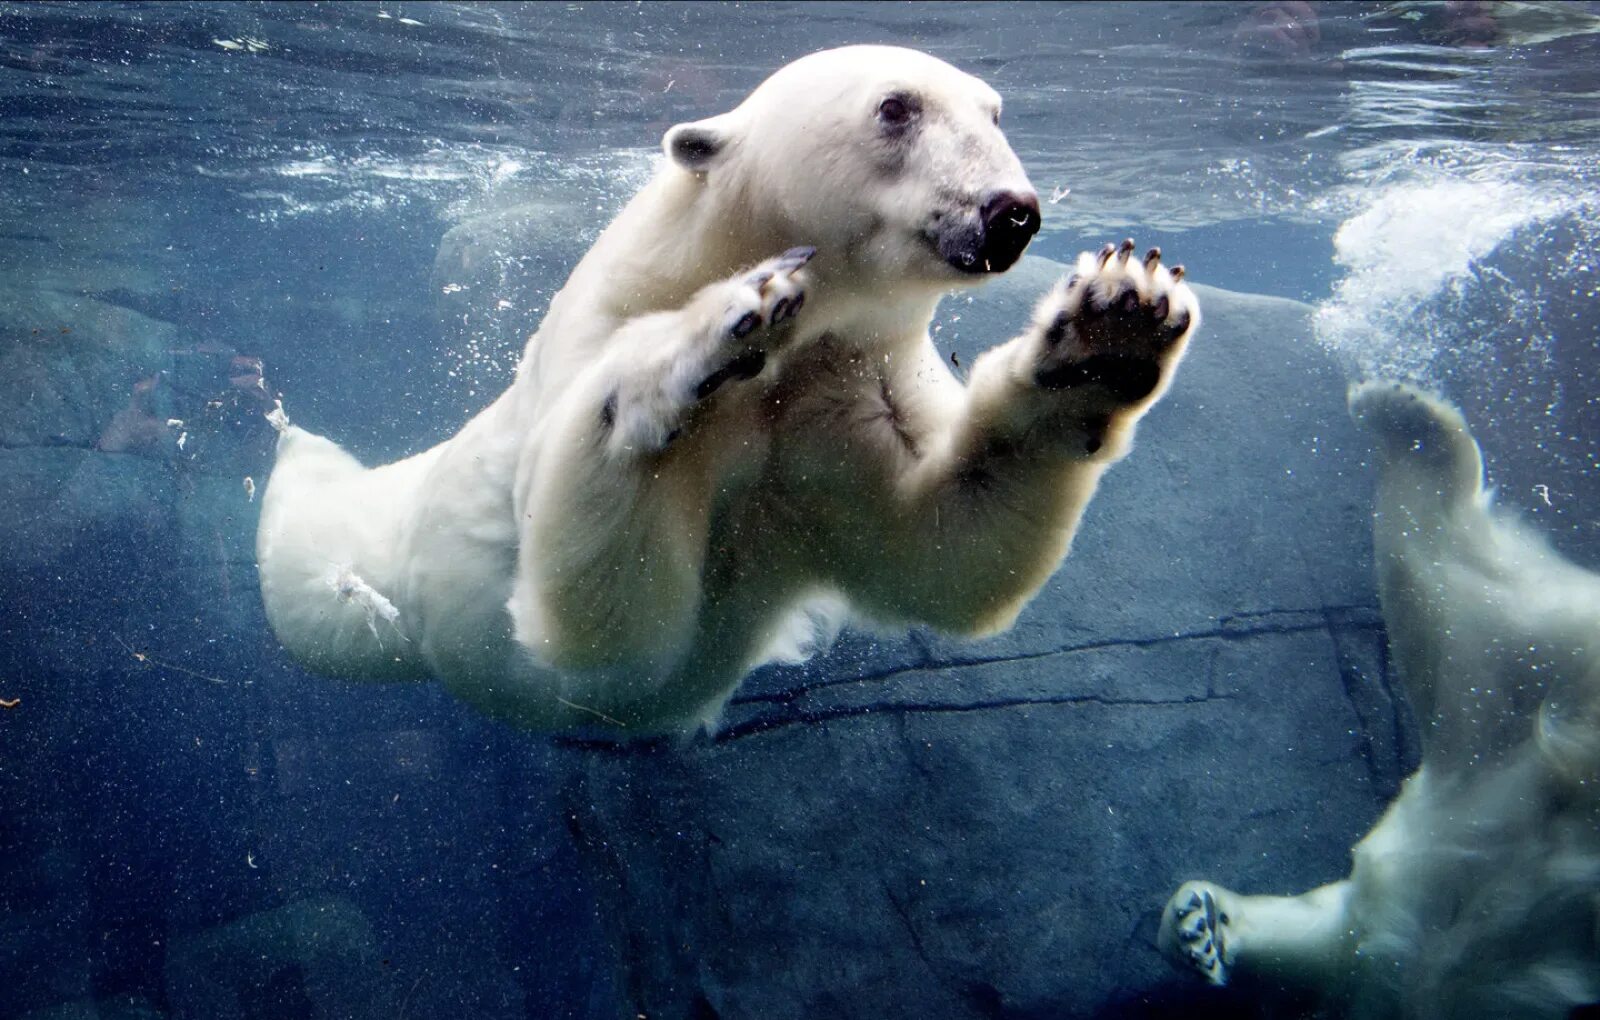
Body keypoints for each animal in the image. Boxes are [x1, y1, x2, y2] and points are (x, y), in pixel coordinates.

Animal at [252, 45, 1203, 735]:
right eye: (897, 107)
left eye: (995, 113)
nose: (1011, 212)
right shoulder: (597, 354)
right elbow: (600, 613)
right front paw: (722, 329)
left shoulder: (844, 387)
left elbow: (940, 545)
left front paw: (1114, 324)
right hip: (370, 571)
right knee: (311, 559)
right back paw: (293, 436)